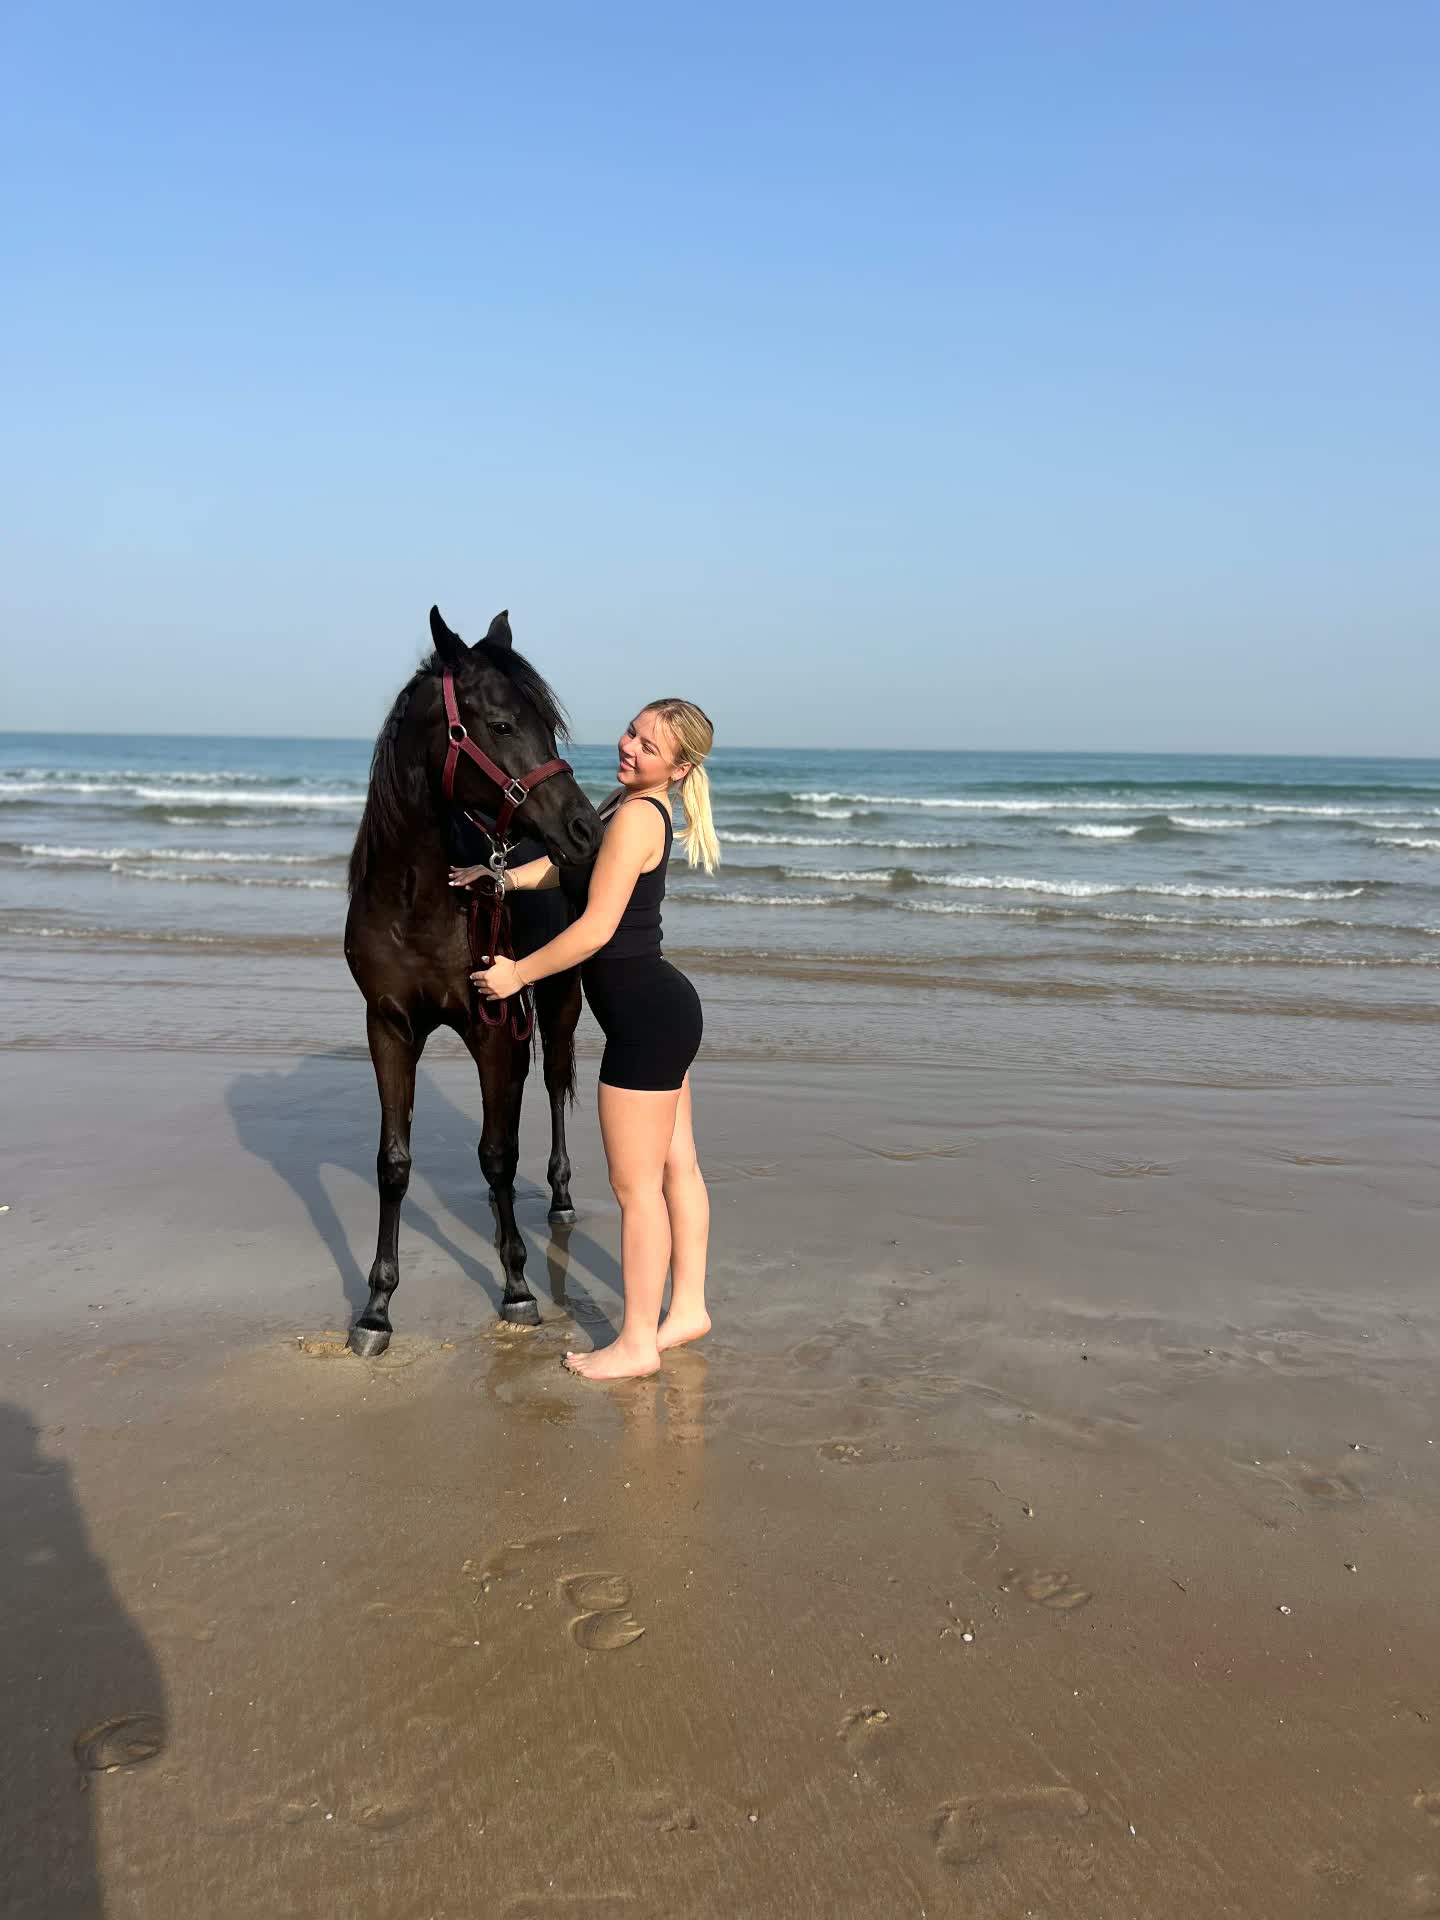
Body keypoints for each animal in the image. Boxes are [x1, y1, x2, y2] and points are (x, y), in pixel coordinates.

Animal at [342, 605, 602, 1355]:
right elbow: (393, 1163)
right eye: (501, 723)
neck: (418, 902)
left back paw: (559, 1197)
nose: (585, 829)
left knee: (551, 1091)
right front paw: (376, 1309)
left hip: (559, 998)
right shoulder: (389, 1026)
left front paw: (516, 1287)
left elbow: (497, 1151)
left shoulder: (493, 1030)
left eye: (549, 725)